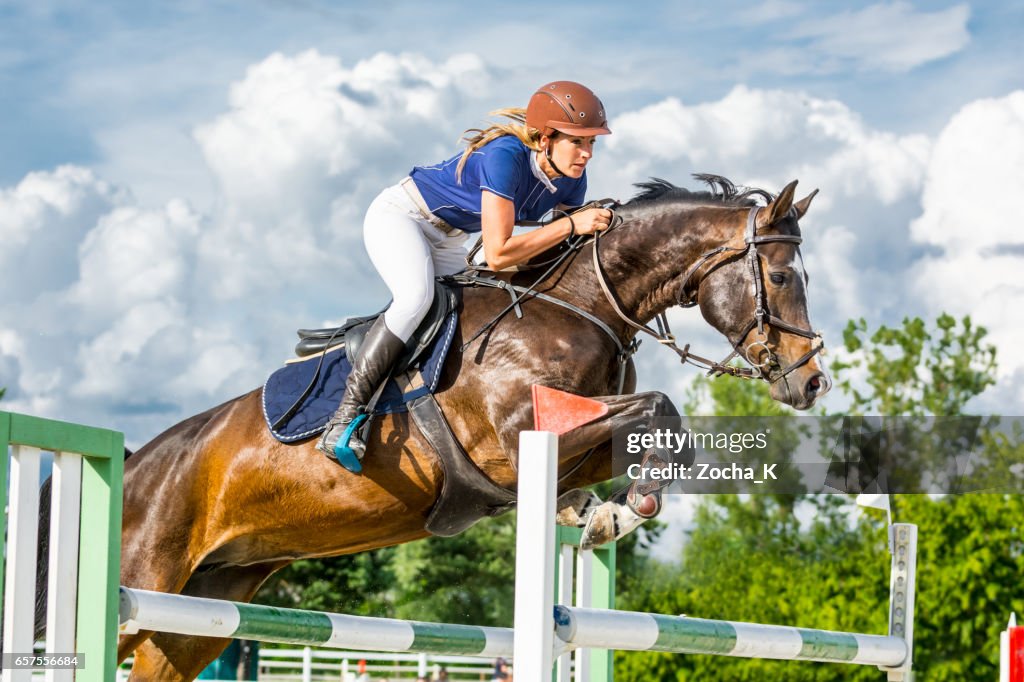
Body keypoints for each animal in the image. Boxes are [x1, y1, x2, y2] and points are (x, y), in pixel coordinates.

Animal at [94, 174, 839, 675]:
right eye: (780, 275)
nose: (810, 382)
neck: (578, 304)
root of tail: (135, 464)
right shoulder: (515, 442)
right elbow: (661, 409)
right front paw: (619, 512)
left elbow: (654, 432)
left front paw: (597, 514)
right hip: (145, 583)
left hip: (198, 618)